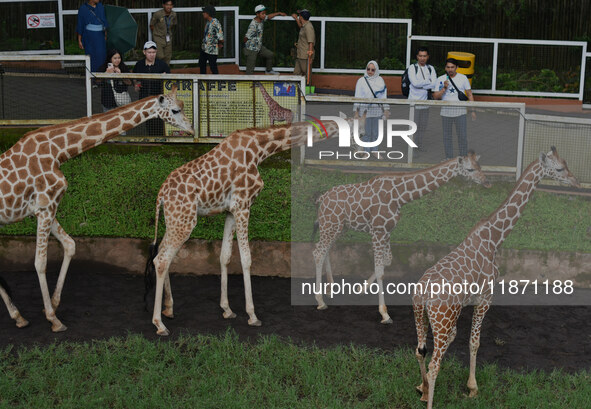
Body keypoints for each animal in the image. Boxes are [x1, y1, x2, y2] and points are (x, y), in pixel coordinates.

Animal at [0, 86, 194, 332]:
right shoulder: (46, 207)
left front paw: (52, 305)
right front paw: (54, 319)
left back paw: (19, 316)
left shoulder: (43, 209)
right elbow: (40, 262)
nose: (191, 128)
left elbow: (70, 245)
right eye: (176, 110)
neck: (58, 151)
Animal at [314, 151, 490, 324]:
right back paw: (320, 300)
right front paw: (385, 314)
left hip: (339, 228)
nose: (487, 182)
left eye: (479, 166)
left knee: (326, 250)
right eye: (470, 169)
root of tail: (322, 198)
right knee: (318, 253)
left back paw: (330, 289)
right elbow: (380, 270)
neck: (399, 196)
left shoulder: (387, 231)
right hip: (330, 225)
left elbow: (387, 261)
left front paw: (360, 288)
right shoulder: (378, 230)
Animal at [414, 146, 580, 408]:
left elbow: (456, 338)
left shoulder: (464, 307)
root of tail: (423, 293)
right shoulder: (485, 298)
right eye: (560, 168)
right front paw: (472, 388)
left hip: (420, 315)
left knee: (420, 350)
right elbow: (474, 341)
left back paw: (423, 389)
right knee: (433, 364)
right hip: (441, 318)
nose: (575, 181)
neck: (494, 238)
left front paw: (425, 389)